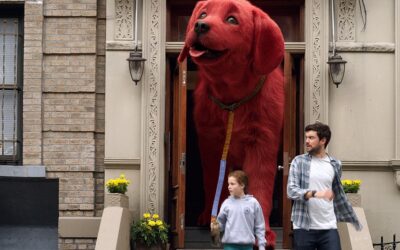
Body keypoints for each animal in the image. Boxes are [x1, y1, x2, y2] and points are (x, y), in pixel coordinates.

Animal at [178, 0, 284, 248]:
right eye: (203, 14)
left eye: (232, 19)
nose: (199, 25)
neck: (233, 101)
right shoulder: (210, 142)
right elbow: (212, 180)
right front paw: (211, 216)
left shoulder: (262, 142)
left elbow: (260, 184)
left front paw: (264, 232)